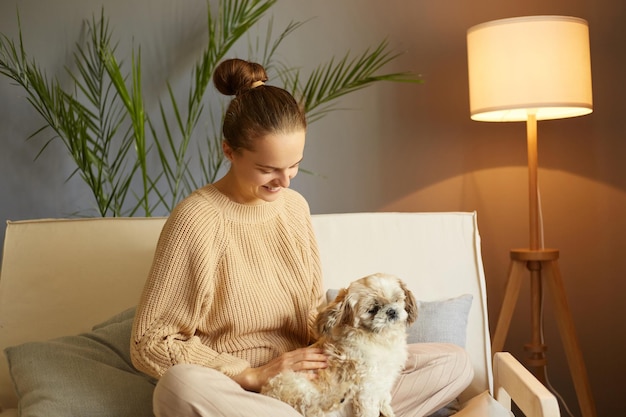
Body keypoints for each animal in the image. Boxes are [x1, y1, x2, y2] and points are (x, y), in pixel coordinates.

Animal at [258, 272, 414, 416]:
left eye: (397, 300)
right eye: (372, 310)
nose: (391, 311)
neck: (381, 338)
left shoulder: (384, 381)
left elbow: (385, 400)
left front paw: (388, 412)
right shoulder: (367, 387)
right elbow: (368, 410)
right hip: (294, 383)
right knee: (313, 408)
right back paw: (340, 397)